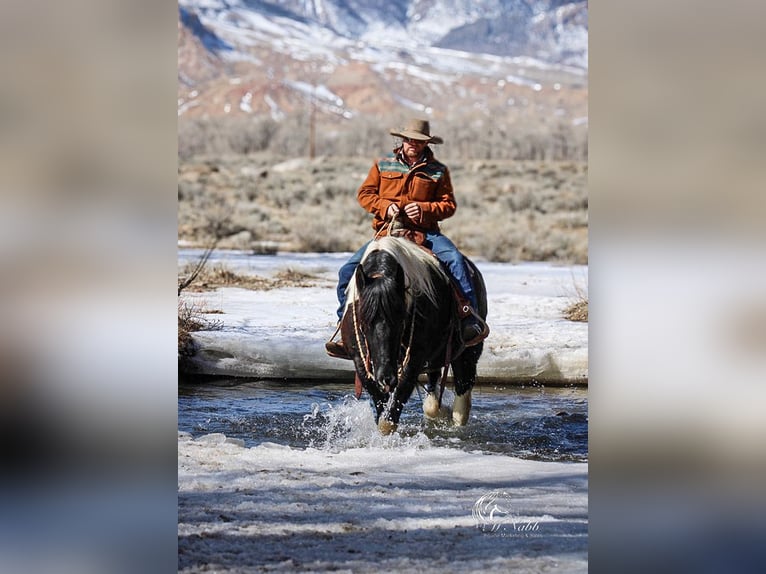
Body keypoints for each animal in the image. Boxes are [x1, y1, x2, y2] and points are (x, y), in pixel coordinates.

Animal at [340, 236, 486, 434]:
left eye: (401, 319)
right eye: (363, 322)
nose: (386, 377)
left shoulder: (414, 359)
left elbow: (392, 411)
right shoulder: (360, 361)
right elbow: (379, 403)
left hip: (467, 352)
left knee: (462, 394)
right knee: (433, 388)